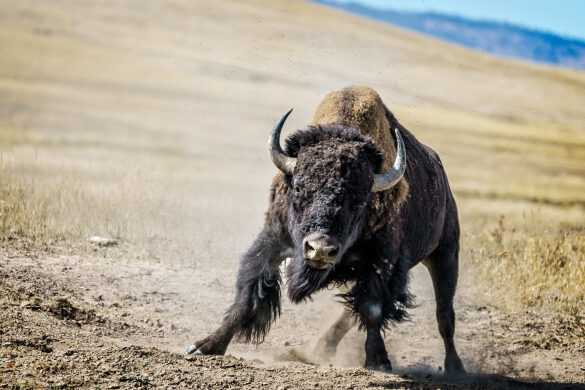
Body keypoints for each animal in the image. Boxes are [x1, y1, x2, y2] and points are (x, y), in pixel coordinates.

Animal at [187, 86, 466, 374]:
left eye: (361, 200)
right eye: (299, 187)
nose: (320, 248)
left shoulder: (381, 260)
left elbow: (372, 308)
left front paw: (378, 361)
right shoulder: (273, 241)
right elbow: (247, 295)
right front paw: (205, 346)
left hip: (446, 254)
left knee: (444, 315)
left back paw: (455, 369)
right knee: (350, 314)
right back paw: (318, 349)